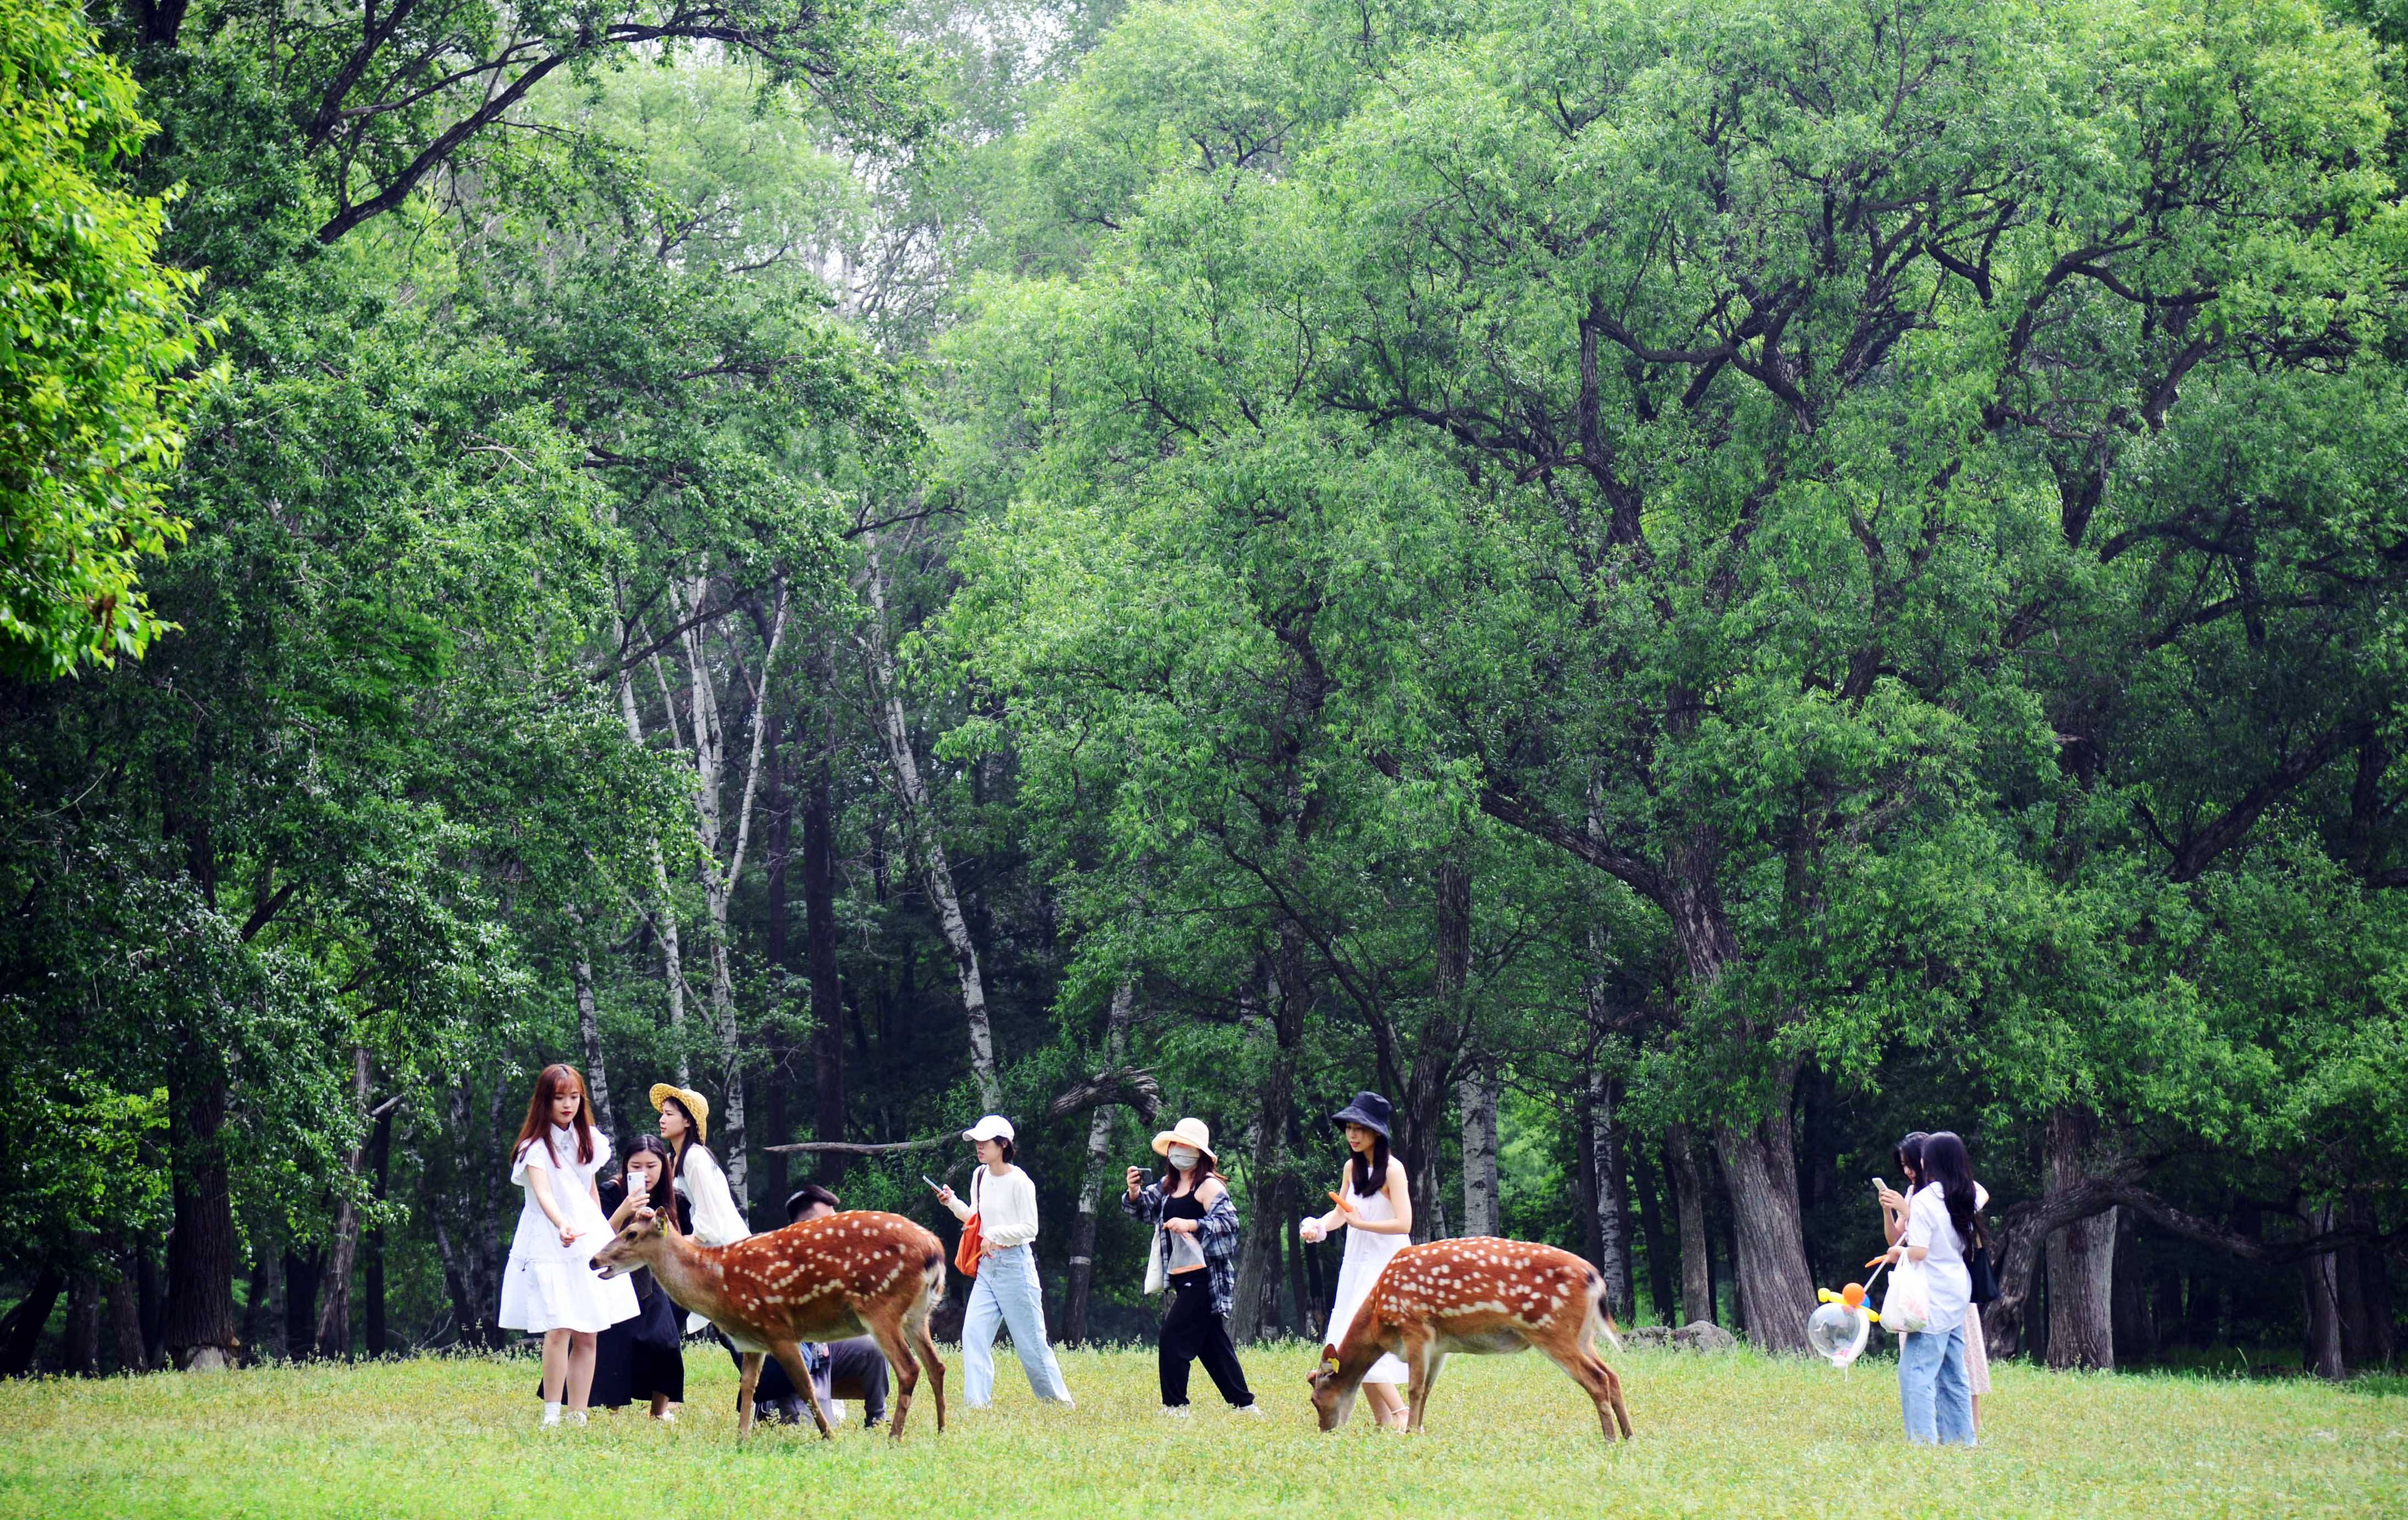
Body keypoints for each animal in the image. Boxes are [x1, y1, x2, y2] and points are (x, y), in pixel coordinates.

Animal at [592, 1214, 948, 1435]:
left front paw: (829, 1436)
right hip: (918, 1315)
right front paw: (741, 1437)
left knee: (909, 1368)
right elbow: (749, 1386)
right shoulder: (753, 1340)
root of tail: (936, 1251)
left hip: (879, 1305)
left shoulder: (778, 1329)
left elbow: (805, 1387)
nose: (595, 1260)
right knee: (936, 1365)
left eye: (631, 1233)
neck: (718, 1286)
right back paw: (942, 1430)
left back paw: (894, 1436)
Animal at [1310, 1233, 1627, 1435]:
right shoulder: (1439, 1346)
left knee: (1597, 1379)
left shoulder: (1415, 1327)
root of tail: (1595, 1279)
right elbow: (1427, 1389)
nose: (1325, 1430)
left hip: (1554, 1329)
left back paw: (1610, 1438)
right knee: (1612, 1374)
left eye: (1314, 1399)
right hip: (1583, 1336)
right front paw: (1419, 1429)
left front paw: (1409, 1432)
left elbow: (1414, 1388)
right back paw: (1628, 1436)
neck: (1379, 1319)